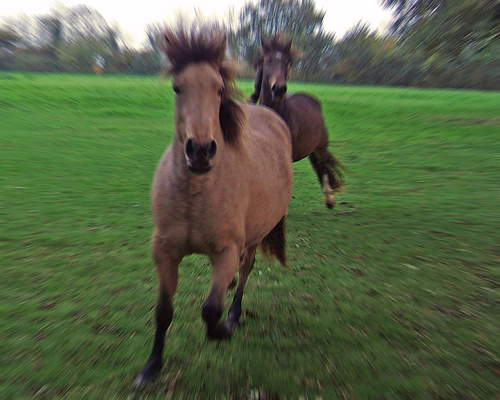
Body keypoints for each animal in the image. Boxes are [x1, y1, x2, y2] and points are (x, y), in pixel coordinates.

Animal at [135, 25, 294, 388]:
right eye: (177, 87)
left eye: (219, 89)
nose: (201, 151)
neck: (196, 193)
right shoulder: (164, 251)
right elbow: (163, 311)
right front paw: (151, 367)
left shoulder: (226, 251)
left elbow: (210, 310)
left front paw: (223, 329)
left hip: (253, 238)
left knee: (245, 271)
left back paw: (234, 313)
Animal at [250, 34, 344, 209]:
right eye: (267, 61)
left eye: (288, 61)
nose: (279, 89)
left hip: (321, 146)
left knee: (323, 165)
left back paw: (329, 199)